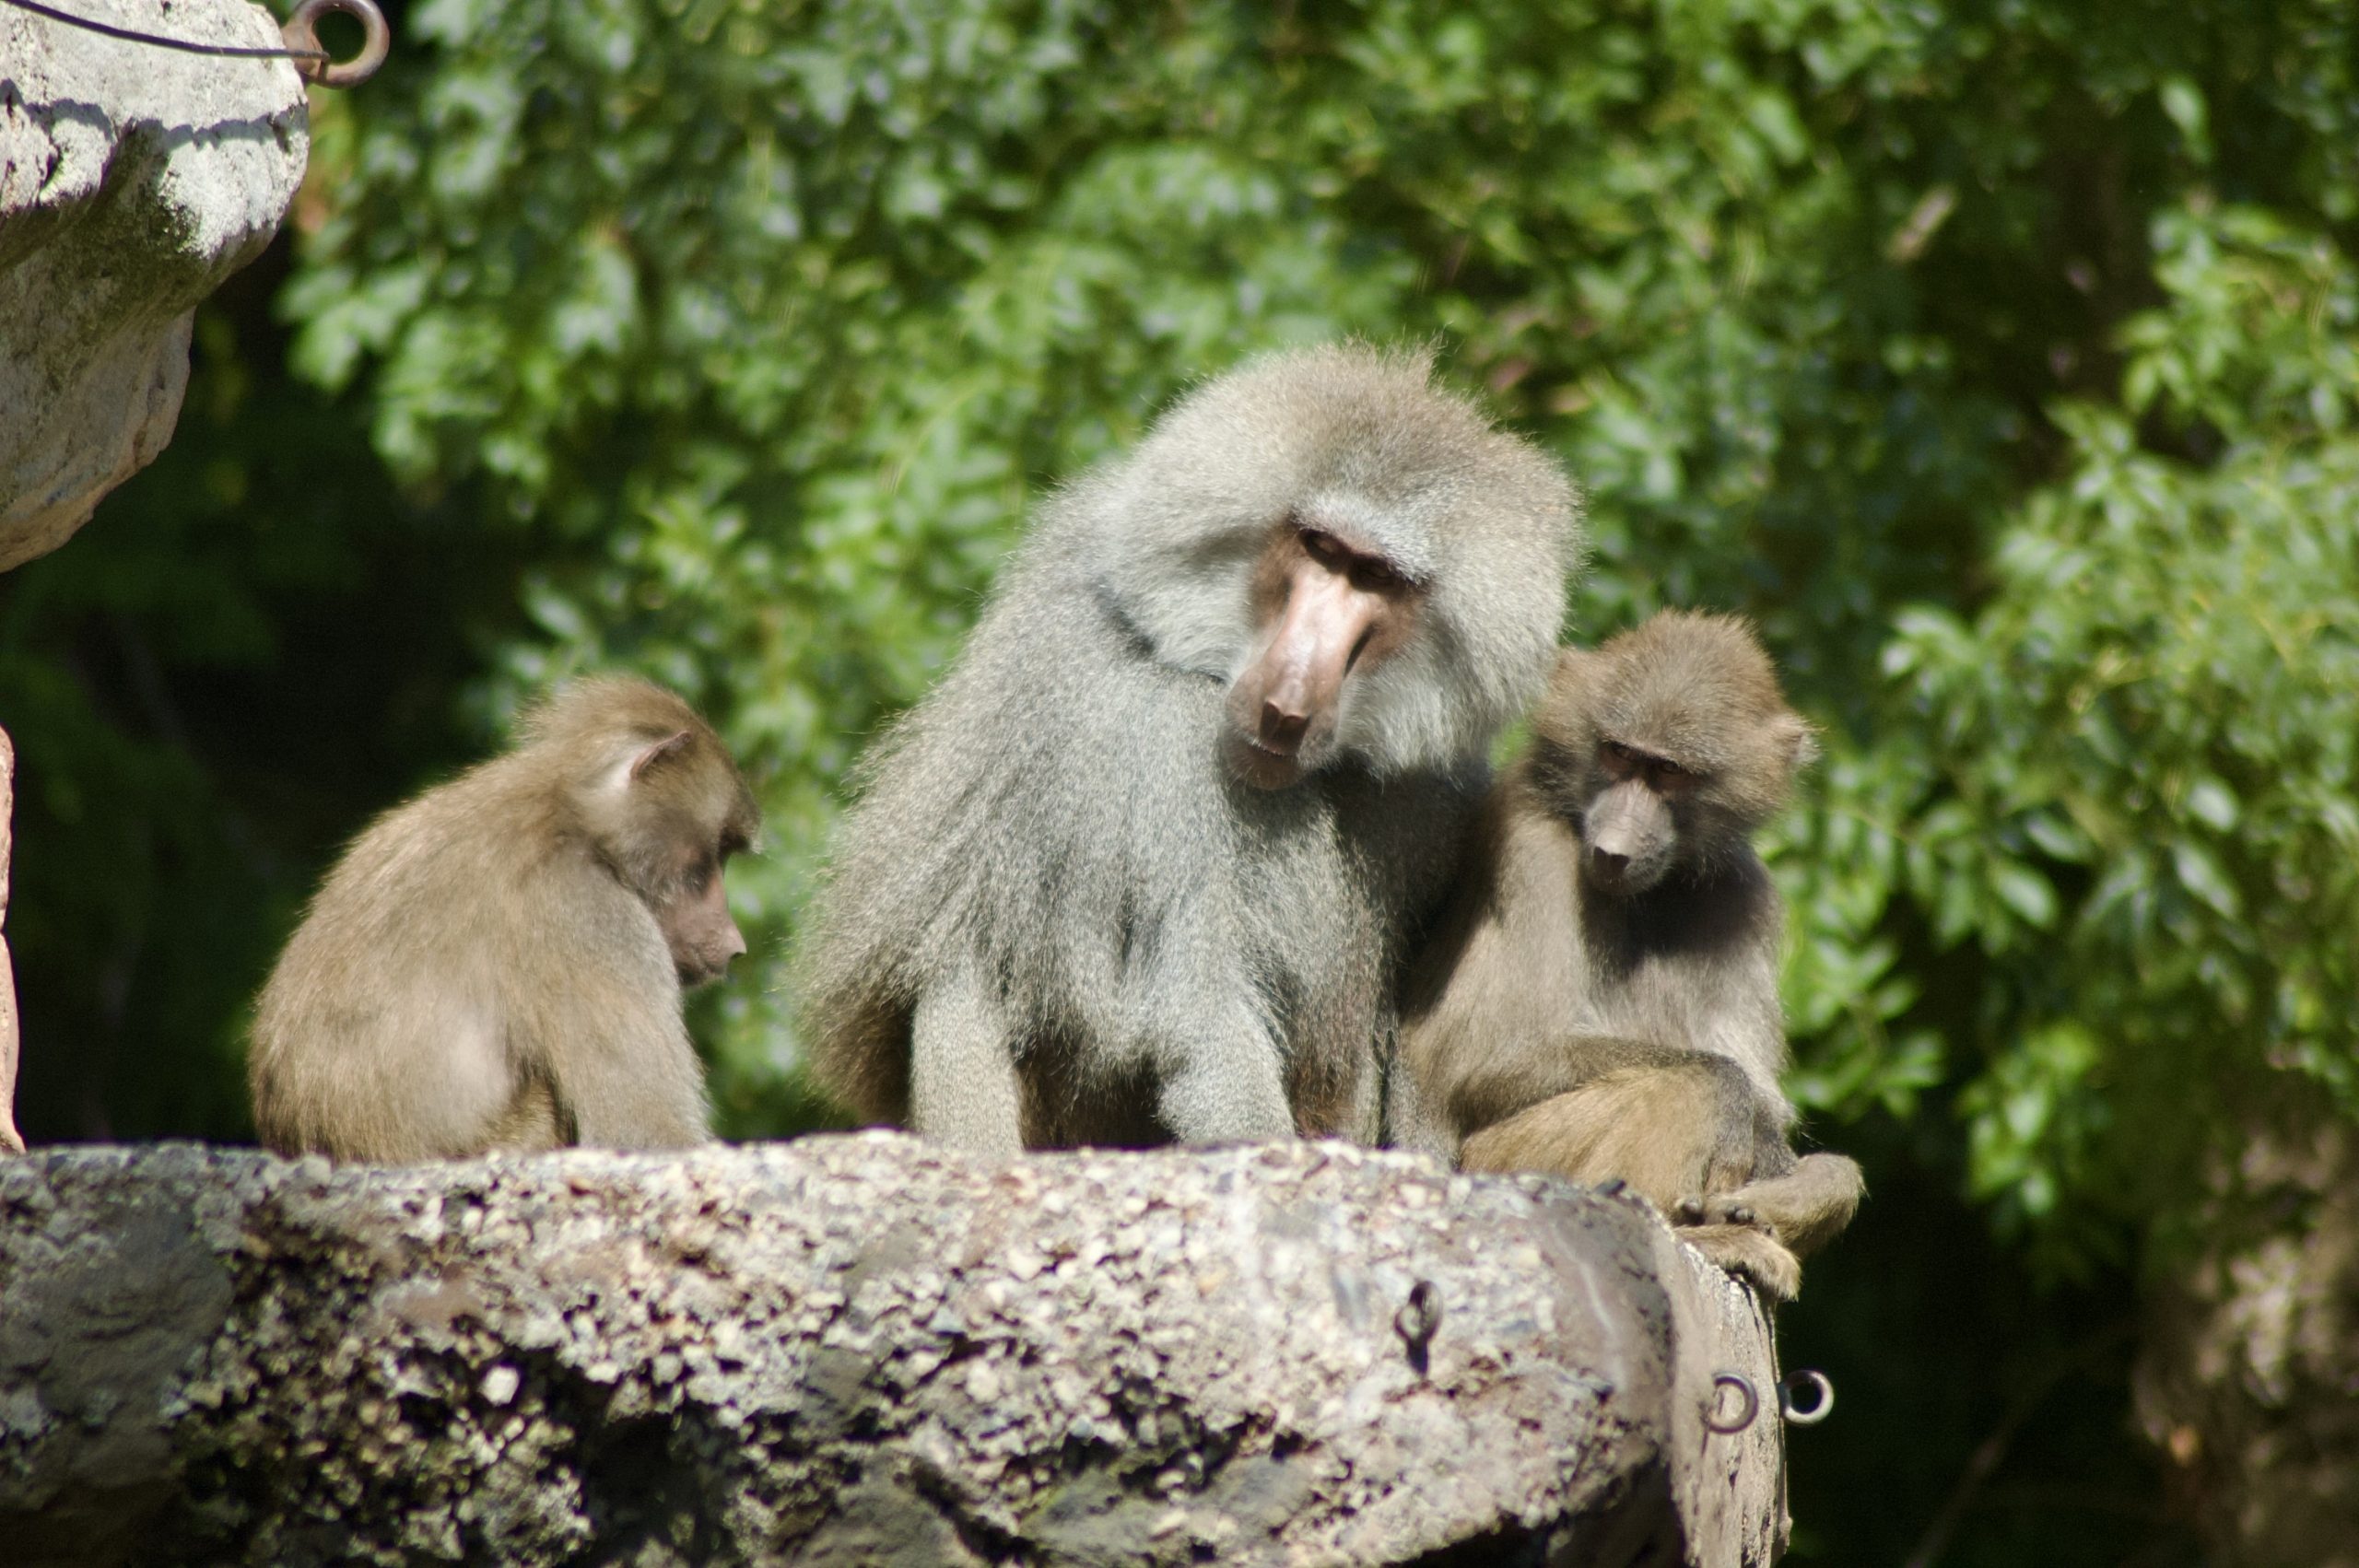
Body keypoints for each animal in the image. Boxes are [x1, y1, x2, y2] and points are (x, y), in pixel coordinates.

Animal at [248, 677, 760, 1162]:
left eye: (725, 854)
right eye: (712, 858)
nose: (735, 944)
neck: (573, 819)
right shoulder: (592, 917)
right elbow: (646, 1136)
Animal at [798, 345, 1582, 1153]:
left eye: (1376, 577)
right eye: (1320, 549)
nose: (1284, 707)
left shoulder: (1436, 793)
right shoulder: (1154, 735)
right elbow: (1202, 1015)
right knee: (962, 990)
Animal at [1395, 611, 1862, 1299]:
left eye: (1668, 772)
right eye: (1617, 754)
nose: (1612, 850)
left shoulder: (1742, 894)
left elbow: (1771, 1111)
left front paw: (1792, 1188)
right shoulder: (1534, 845)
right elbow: (1493, 1058)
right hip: (1506, 1162)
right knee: (1693, 1085)